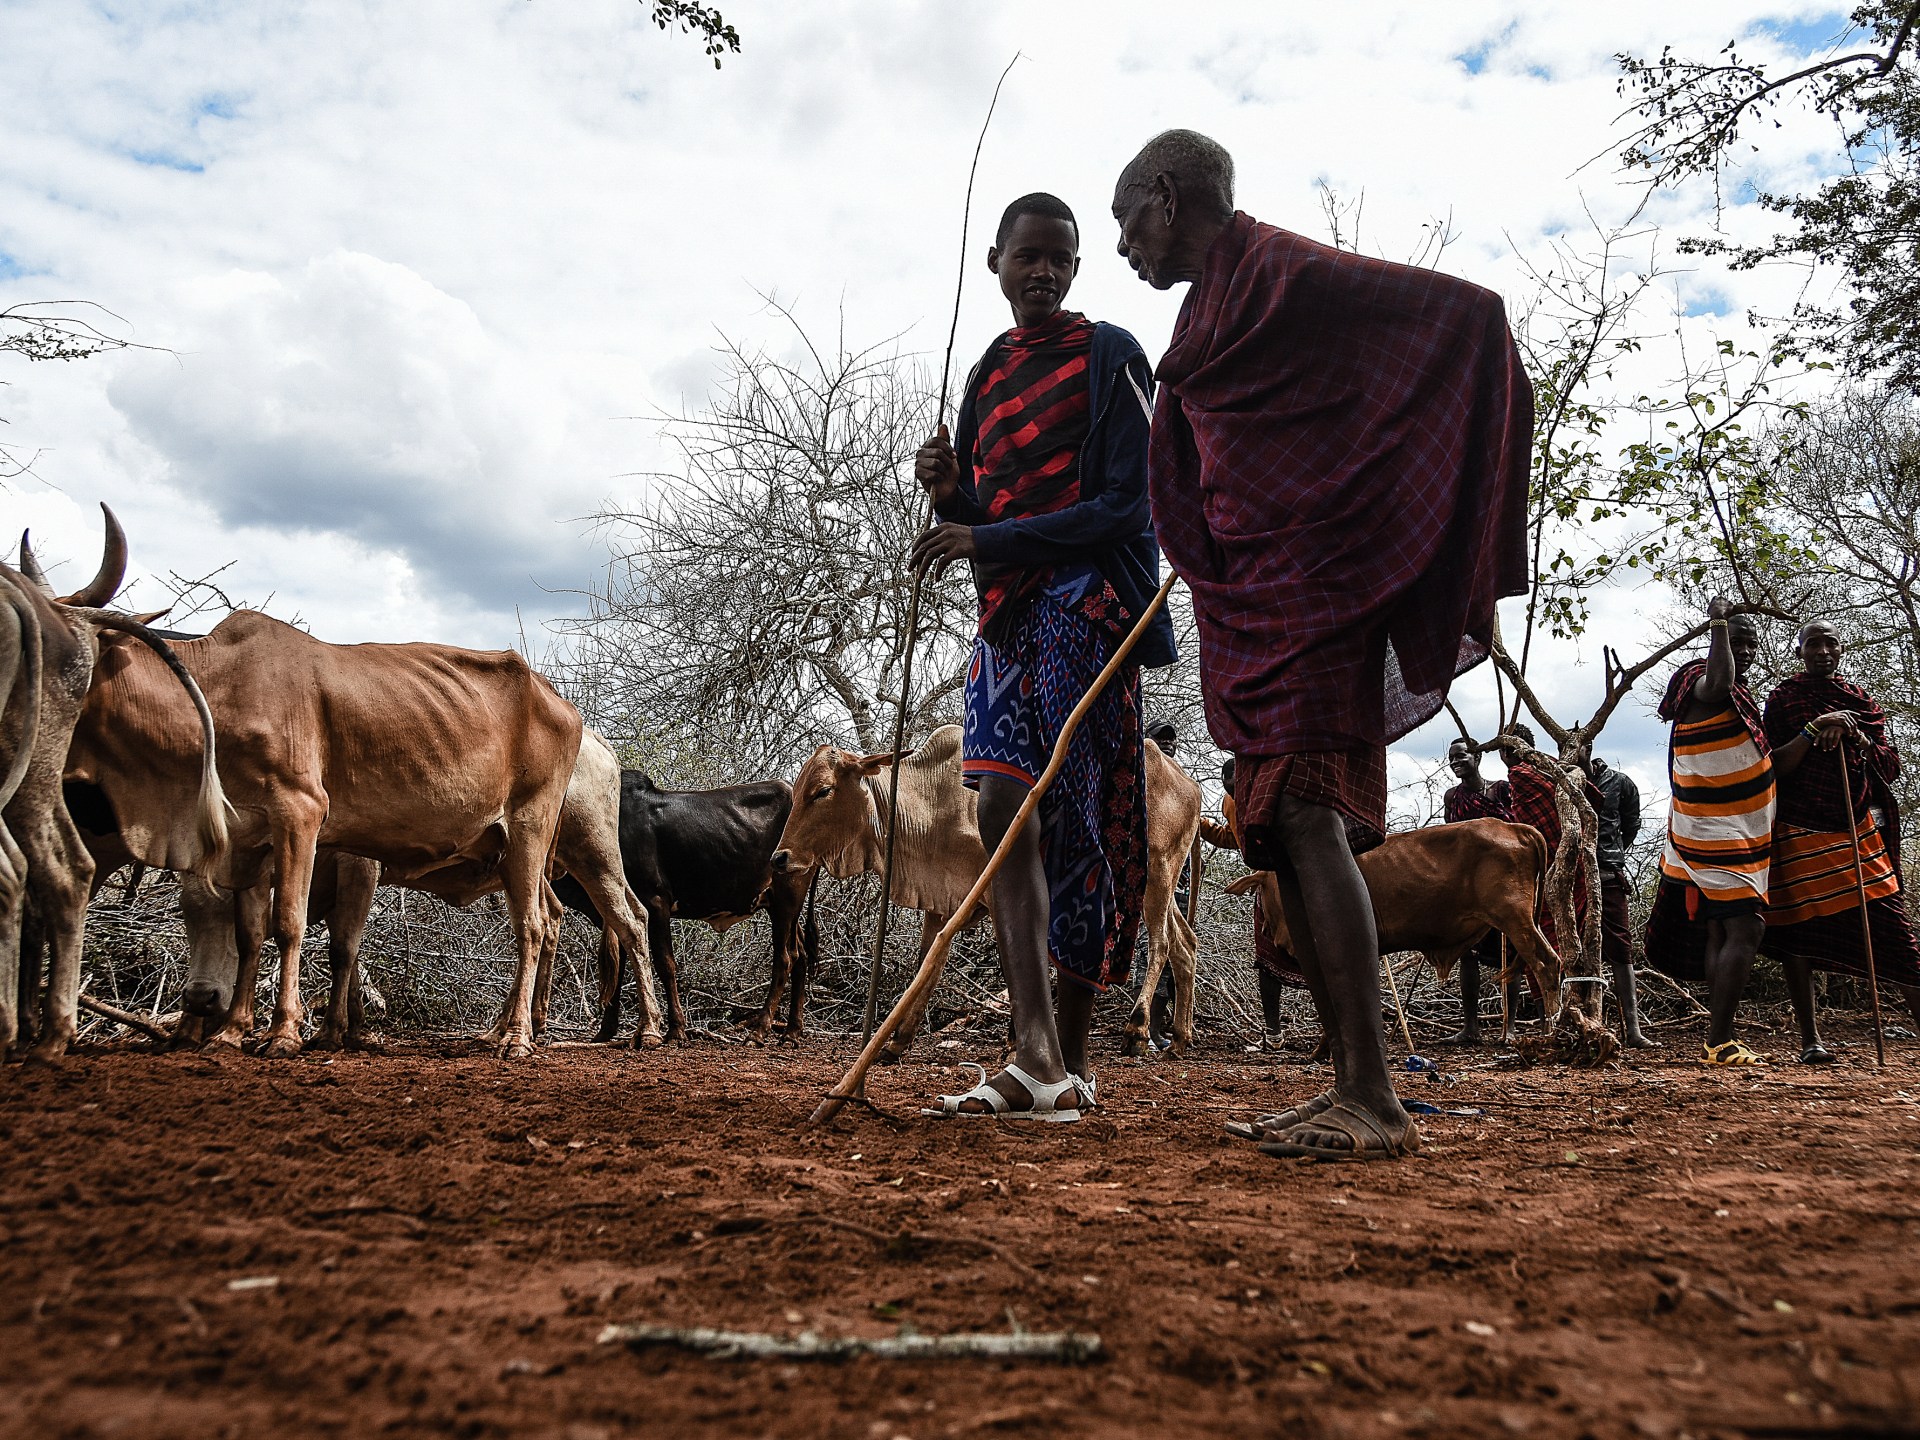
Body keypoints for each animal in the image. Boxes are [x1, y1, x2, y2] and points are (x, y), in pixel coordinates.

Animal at [63, 606, 579, 1059]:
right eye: (187, 913)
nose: (199, 998)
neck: (218, 689)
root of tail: (557, 699)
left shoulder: (302, 814)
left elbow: (293, 925)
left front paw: (287, 1033)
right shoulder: (249, 841)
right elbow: (253, 934)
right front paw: (232, 1032)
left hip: (528, 829)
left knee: (532, 927)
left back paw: (517, 1037)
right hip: (510, 855)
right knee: (547, 917)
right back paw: (507, 1030)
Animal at [556, 779, 825, 1052]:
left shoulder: (656, 903)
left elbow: (665, 964)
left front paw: (675, 1030)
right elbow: (621, 965)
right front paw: (605, 1031)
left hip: (786, 901)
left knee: (785, 959)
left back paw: (759, 1031)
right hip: (783, 907)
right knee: (801, 956)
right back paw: (791, 1032)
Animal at [768, 733, 1198, 1059]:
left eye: (823, 791)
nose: (779, 857)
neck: (935, 802)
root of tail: (1188, 783)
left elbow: (1014, 957)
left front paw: (1015, 1042)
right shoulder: (943, 900)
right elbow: (928, 963)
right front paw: (898, 1040)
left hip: (1156, 874)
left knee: (1161, 943)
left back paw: (1137, 1030)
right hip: (1164, 883)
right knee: (1185, 943)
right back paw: (1179, 1039)